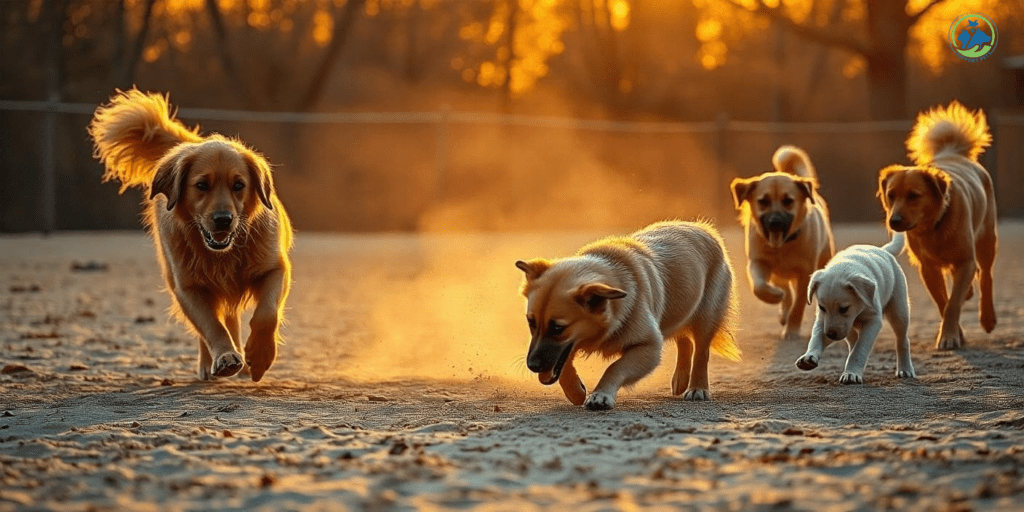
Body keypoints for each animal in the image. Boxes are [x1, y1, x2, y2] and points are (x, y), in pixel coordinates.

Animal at [88, 90, 292, 382]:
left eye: (239, 185)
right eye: (202, 185)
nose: (223, 219)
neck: (224, 253)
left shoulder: (275, 269)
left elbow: (266, 313)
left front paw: (260, 355)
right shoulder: (188, 288)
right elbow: (211, 326)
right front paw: (225, 357)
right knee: (214, 325)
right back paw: (213, 363)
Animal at [516, 221, 741, 411]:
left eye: (558, 328)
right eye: (531, 323)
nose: (532, 366)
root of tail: (703, 228)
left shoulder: (649, 347)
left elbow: (615, 367)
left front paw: (600, 395)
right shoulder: (567, 347)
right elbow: (563, 366)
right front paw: (575, 391)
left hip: (706, 317)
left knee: (701, 351)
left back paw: (697, 388)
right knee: (684, 341)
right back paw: (680, 380)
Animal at [729, 146, 831, 342]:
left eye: (788, 201)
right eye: (763, 201)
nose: (775, 222)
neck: (782, 247)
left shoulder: (805, 273)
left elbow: (798, 306)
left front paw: (791, 330)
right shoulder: (758, 262)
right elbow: (759, 287)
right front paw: (774, 297)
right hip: (777, 273)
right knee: (785, 290)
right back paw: (782, 306)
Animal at [794, 232, 917, 385]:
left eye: (844, 309)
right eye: (822, 307)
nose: (830, 335)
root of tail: (884, 250)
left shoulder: (873, 322)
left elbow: (859, 350)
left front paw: (851, 374)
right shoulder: (824, 321)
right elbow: (816, 338)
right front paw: (809, 357)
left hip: (899, 311)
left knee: (902, 340)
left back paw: (905, 369)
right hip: (847, 329)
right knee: (853, 341)